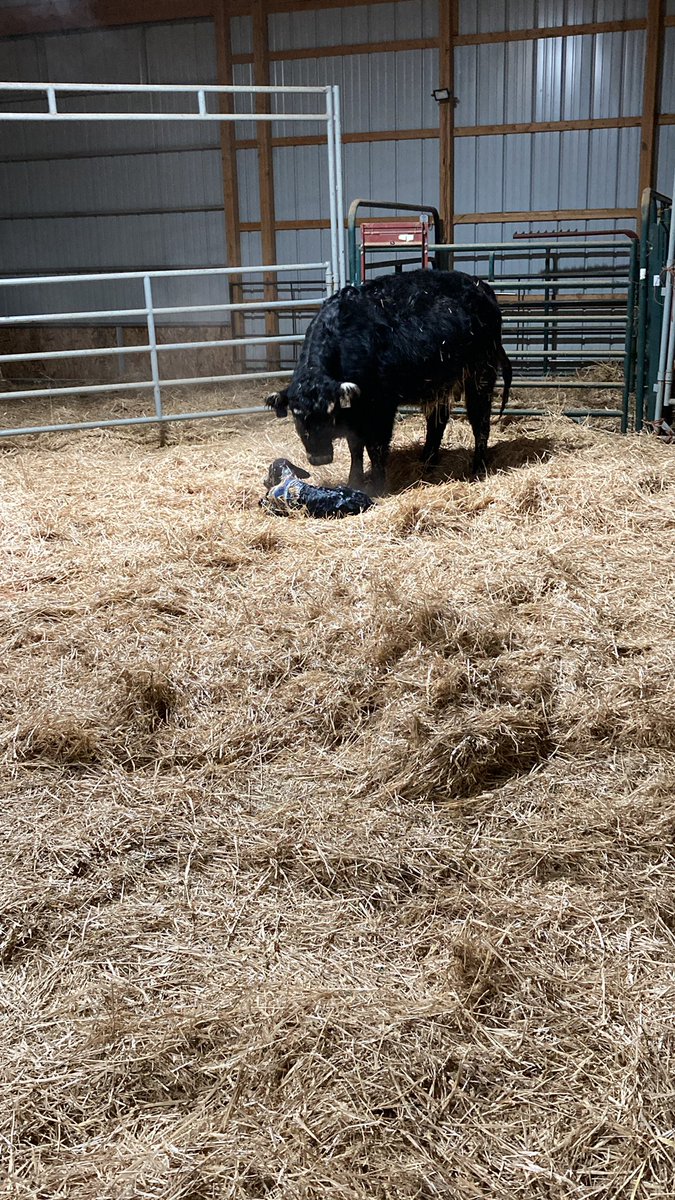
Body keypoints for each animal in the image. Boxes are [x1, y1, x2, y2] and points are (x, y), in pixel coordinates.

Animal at [265, 269, 512, 494]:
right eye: (296, 415)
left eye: (330, 413)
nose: (320, 458)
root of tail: (480, 285)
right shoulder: (356, 413)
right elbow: (355, 447)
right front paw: (354, 481)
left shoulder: (382, 407)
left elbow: (376, 448)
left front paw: (377, 485)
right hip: (439, 385)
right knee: (437, 423)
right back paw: (427, 462)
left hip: (481, 375)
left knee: (480, 422)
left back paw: (477, 467)